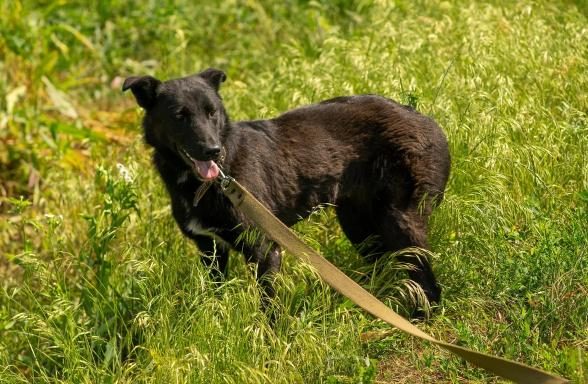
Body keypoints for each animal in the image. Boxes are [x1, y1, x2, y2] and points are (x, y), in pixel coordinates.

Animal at [124, 68, 450, 308]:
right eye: (180, 115)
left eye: (211, 112)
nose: (212, 150)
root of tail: (421, 116)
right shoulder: (210, 250)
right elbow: (216, 295)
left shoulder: (264, 248)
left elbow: (269, 308)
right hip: (360, 226)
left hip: (399, 221)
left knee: (427, 283)